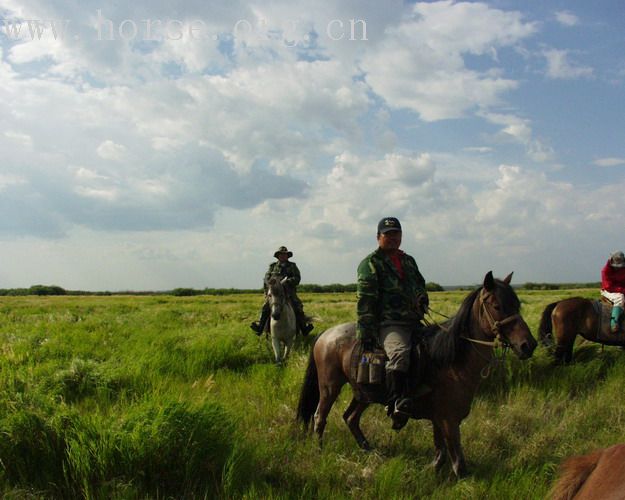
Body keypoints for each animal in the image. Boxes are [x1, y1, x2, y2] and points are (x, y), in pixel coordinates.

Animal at [296, 272, 536, 474]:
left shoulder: (440, 419)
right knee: (320, 417)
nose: (528, 345)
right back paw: (319, 451)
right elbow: (459, 465)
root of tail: (326, 334)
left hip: (363, 393)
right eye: (496, 305)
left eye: (517, 304)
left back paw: (369, 450)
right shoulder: (449, 421)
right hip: (330, 387)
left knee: (351, 418)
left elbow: (440, 455)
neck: (451, 361)